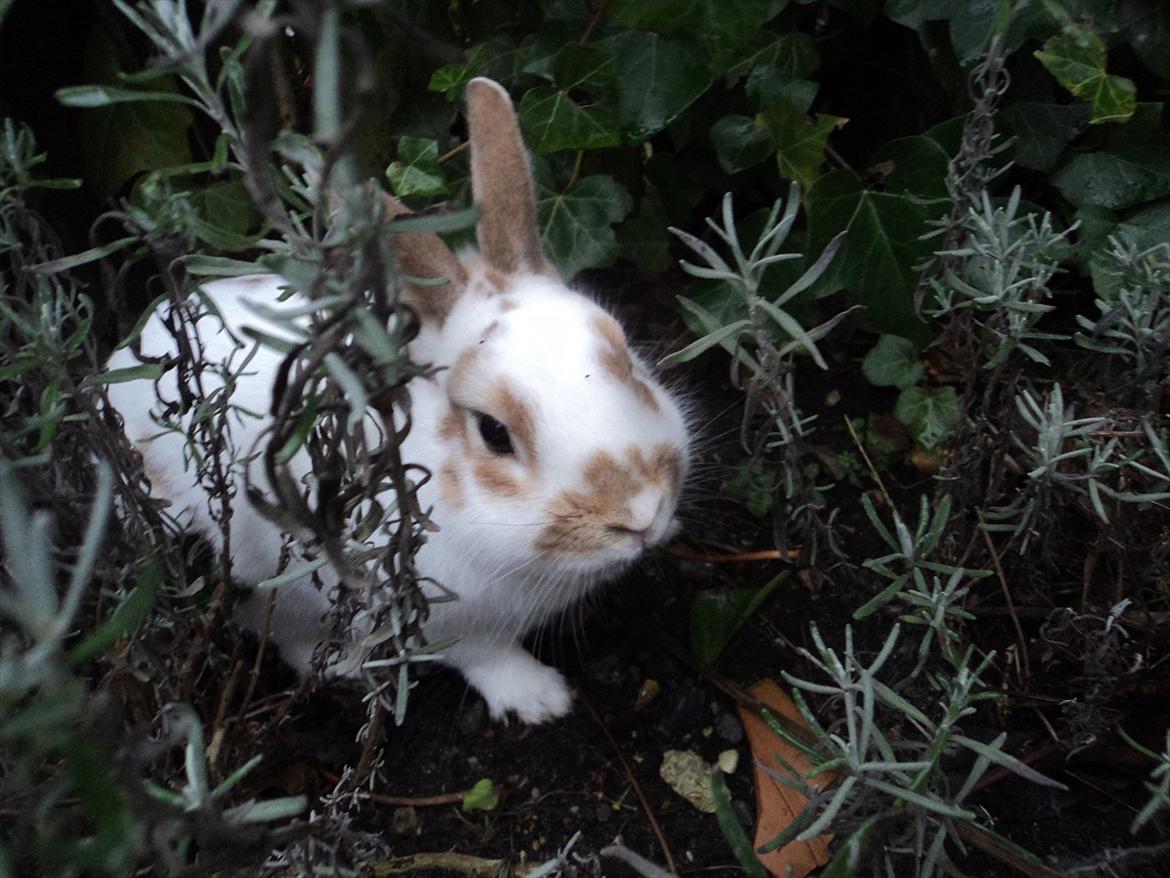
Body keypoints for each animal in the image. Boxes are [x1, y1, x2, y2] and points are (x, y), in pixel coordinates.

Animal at [105, 79, 687, 725]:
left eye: (626, 358)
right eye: (493, 432)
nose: (640, 514)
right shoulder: (446, 616)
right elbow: (487, 657)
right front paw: (541, 700)